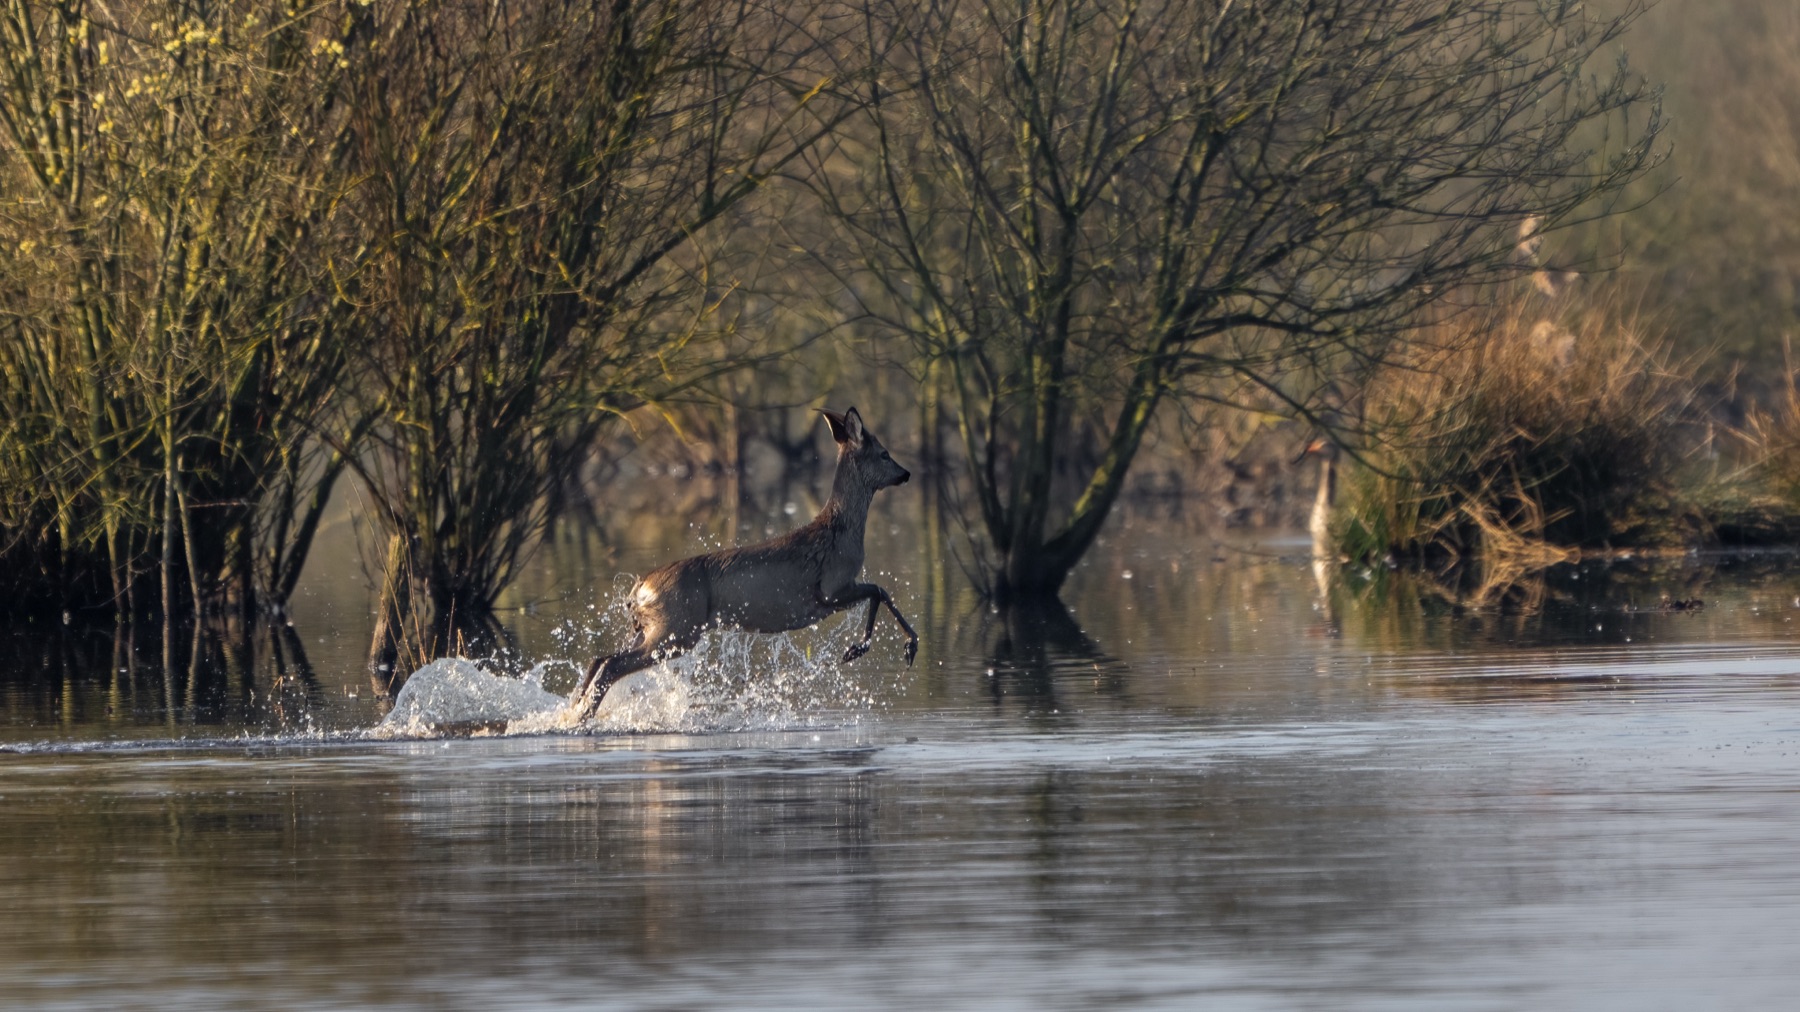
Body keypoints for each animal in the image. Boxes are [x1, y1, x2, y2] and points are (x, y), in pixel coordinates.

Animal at [570, 406, 920, 720]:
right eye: (885, 454)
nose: (906, 473)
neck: (843, 530)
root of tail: (638, 589)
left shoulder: (833, 594)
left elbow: (879, 592)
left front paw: (886, 648)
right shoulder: (831, 588)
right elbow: (880, 590)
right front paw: (877, 648)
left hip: (652, 628)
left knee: (599, 658)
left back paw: (574, 709)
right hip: (676, 628)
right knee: (611, 665)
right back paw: (582, 718)